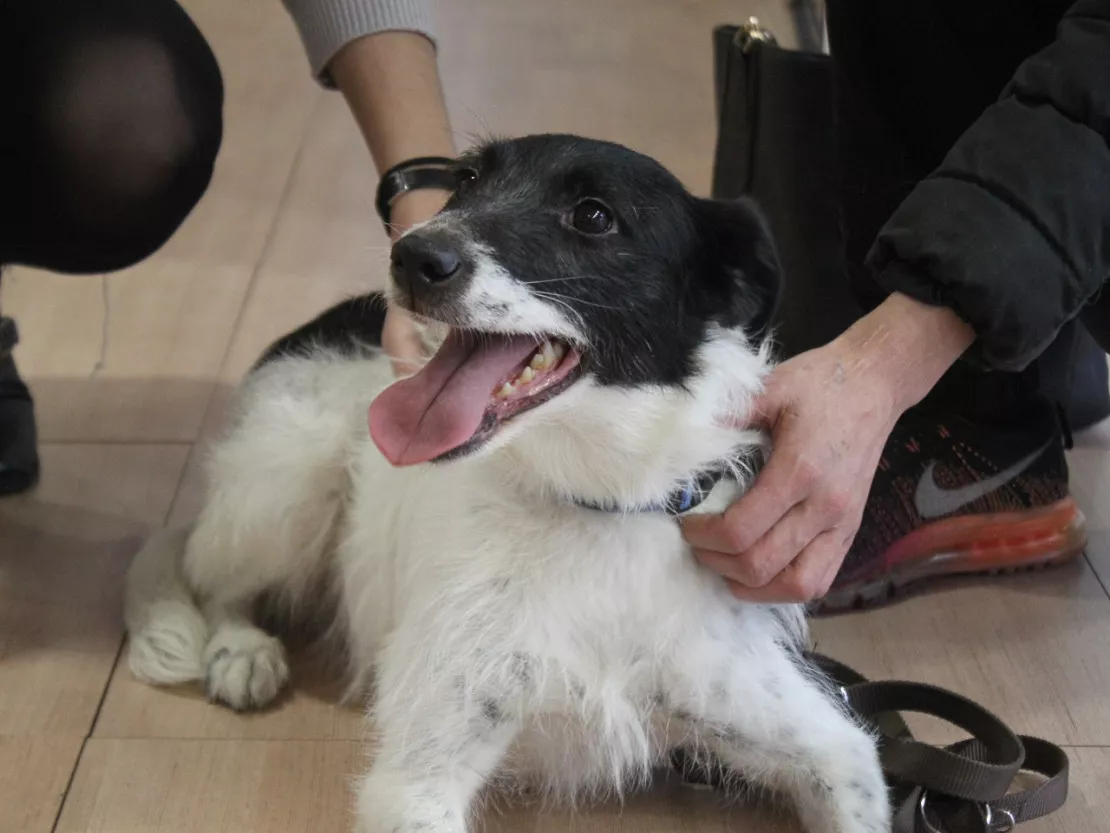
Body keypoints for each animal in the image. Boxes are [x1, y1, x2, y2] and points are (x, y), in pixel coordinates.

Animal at [123, 133, 883, 830]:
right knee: (213, 577)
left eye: (594, 216)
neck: (590, 504)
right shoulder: (418, 776)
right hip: (287, 479)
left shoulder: (831, 745)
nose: (414, 256)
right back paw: (241, 649)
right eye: (466, 181)